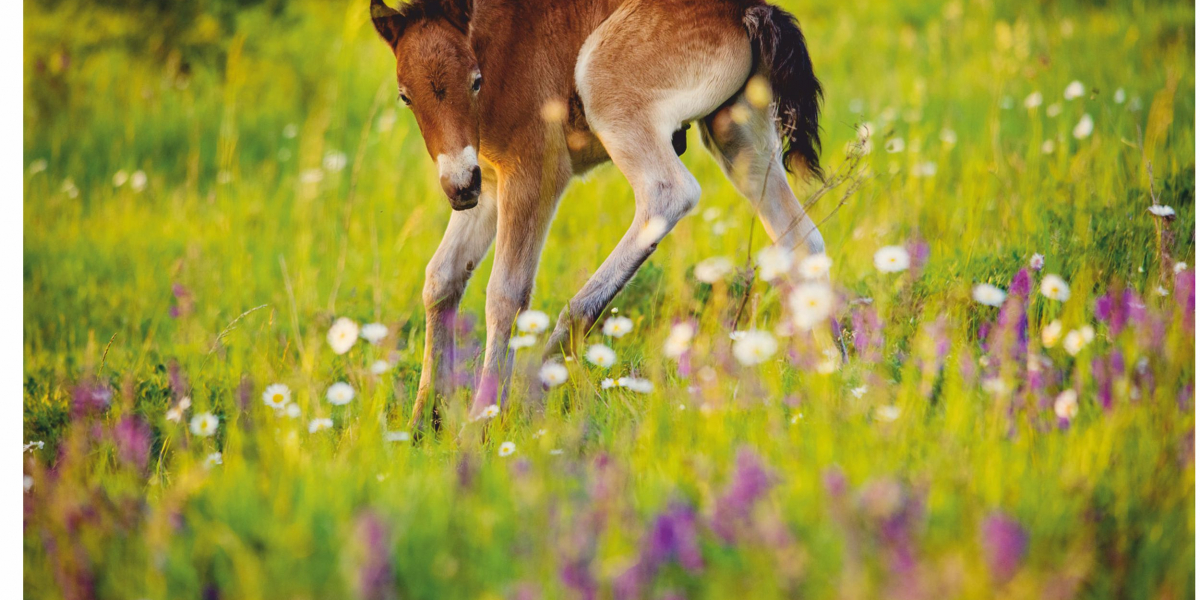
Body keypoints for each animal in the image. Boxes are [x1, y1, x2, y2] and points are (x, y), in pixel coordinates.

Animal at [369, 0, 830, 432]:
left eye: (475, 80)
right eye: (406, 96)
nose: (458, 186)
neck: (496, 43)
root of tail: (745, 9)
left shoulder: (533, 171)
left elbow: (505, 293)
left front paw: (482, 420)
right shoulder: (488, 184)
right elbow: (442, 277)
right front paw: (422, 424)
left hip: (606, 90)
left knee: (669, 192)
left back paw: (547, 359)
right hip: (737, 135)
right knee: (802, 240)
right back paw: (833, 371)